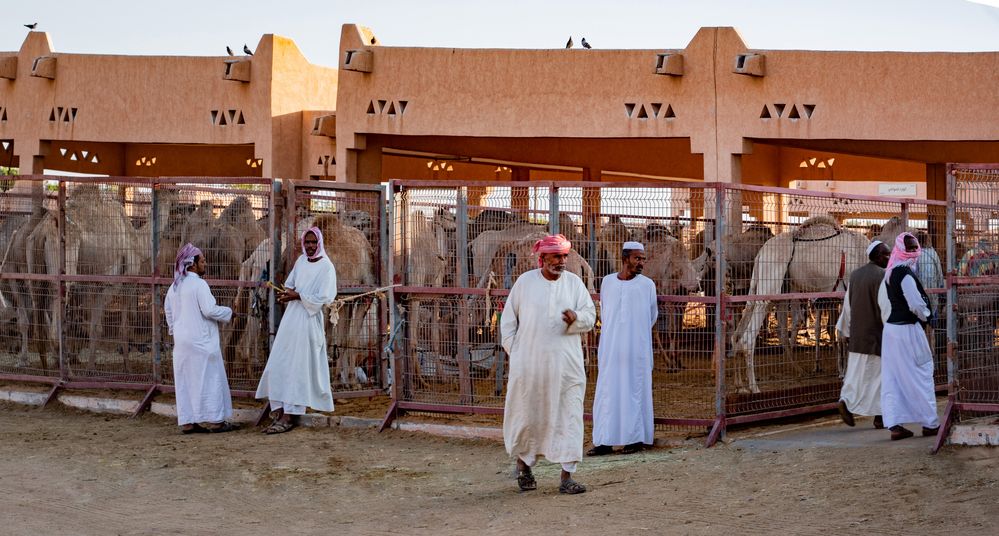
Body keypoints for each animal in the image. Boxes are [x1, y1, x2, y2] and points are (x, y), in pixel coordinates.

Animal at [732, 215, 872, 394]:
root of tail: (760, 254)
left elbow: (842, 335)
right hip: (771, 284)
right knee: (748, 338)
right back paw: (754, 388)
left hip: (769, 286)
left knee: (741, 331)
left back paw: (741, 384)